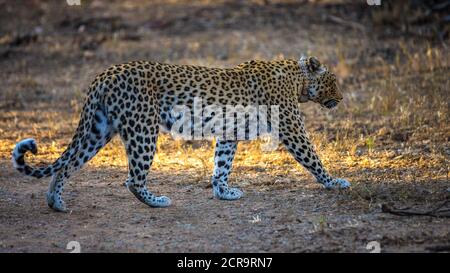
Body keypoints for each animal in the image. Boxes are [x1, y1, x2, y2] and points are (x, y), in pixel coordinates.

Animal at [9, 55, 348, 211]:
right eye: (333, 81)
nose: (343, 98)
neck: (298, 79)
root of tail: (105, 74)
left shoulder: (228, 134)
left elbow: (221, 165)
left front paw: (223, 192)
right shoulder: (291, 127)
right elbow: (313, 157)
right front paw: (335, 182)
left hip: (98, 129)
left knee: (68, 163)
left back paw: (55, 202)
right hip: (142, 129)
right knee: (132, 178)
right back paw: (156, 201)